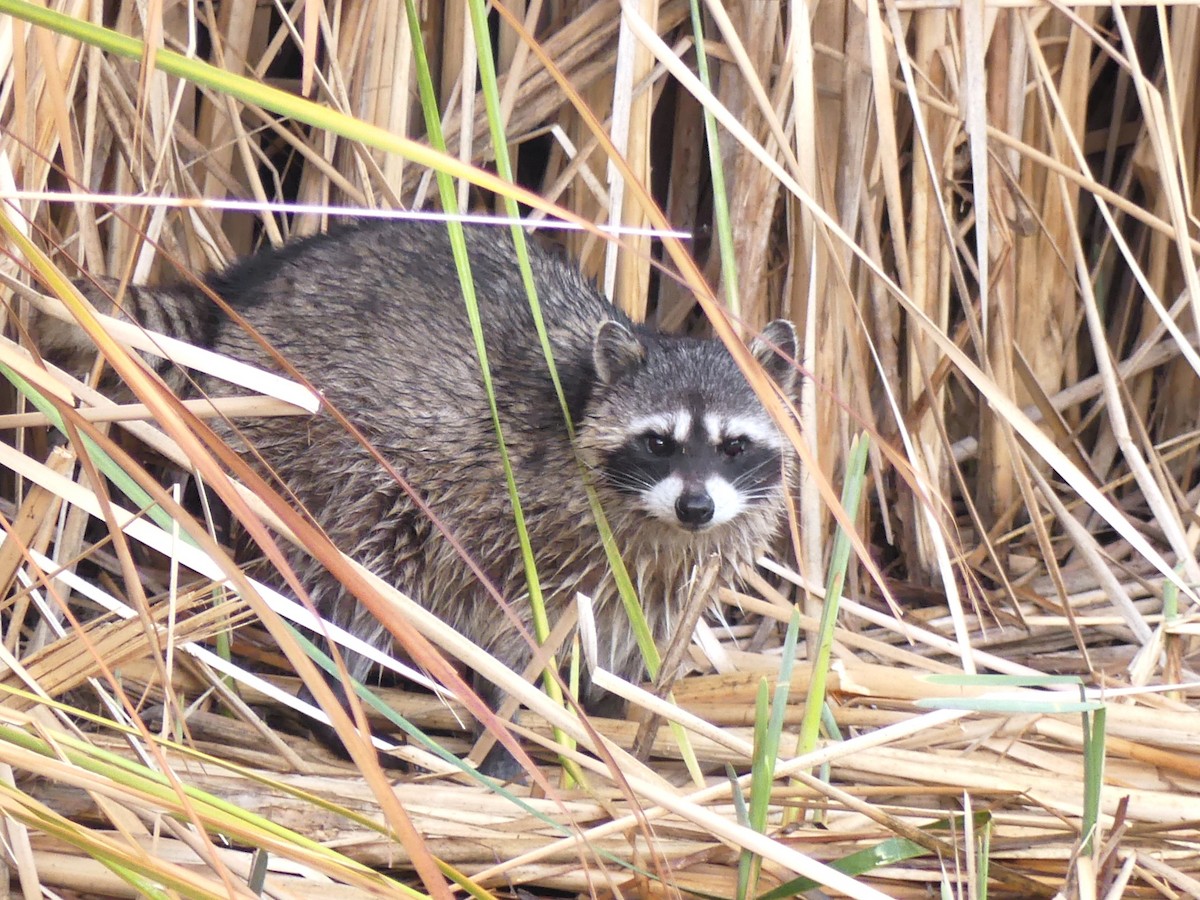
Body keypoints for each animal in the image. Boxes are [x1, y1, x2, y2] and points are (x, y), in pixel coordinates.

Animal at [38, 220, 798, 775]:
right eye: (658, 443)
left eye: (734, 446)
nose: (696, 507)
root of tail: (246, 290)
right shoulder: (519, 520)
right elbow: (514, 633)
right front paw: (515, 721)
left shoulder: (669, 570)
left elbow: (635, 637)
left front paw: (616, 708)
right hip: (320, 448)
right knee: (367, 564)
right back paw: (336, 696)